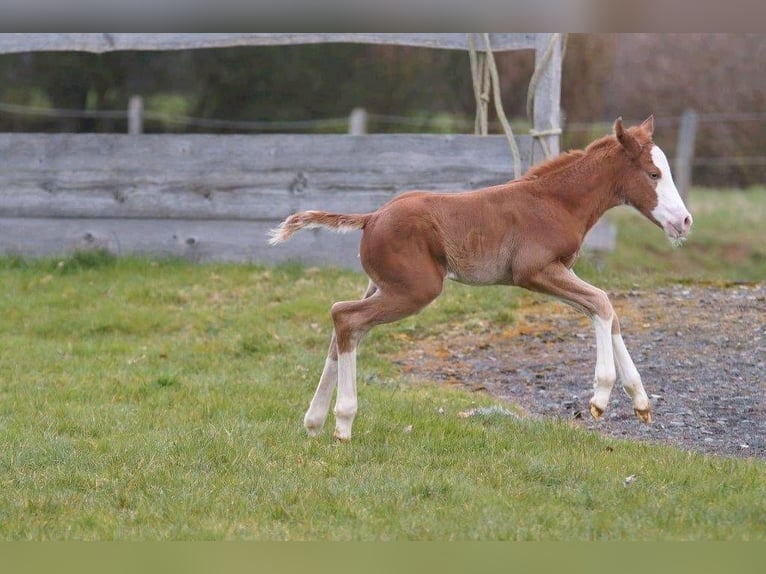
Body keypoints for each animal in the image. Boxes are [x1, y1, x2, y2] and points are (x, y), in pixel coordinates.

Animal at [272, 116, 696, 440]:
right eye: (653, 173)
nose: (685, 221)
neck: (557, 202)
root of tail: (372, 217)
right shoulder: (534, 271)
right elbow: (602, 303)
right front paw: (600, 398)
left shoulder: (560, 270)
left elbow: (605, 309)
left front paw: (640, 401)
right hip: (415, 289)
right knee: (345, 316)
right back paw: (343, 423)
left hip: (382, 284)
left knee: (346, 326)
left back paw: (314, 422)